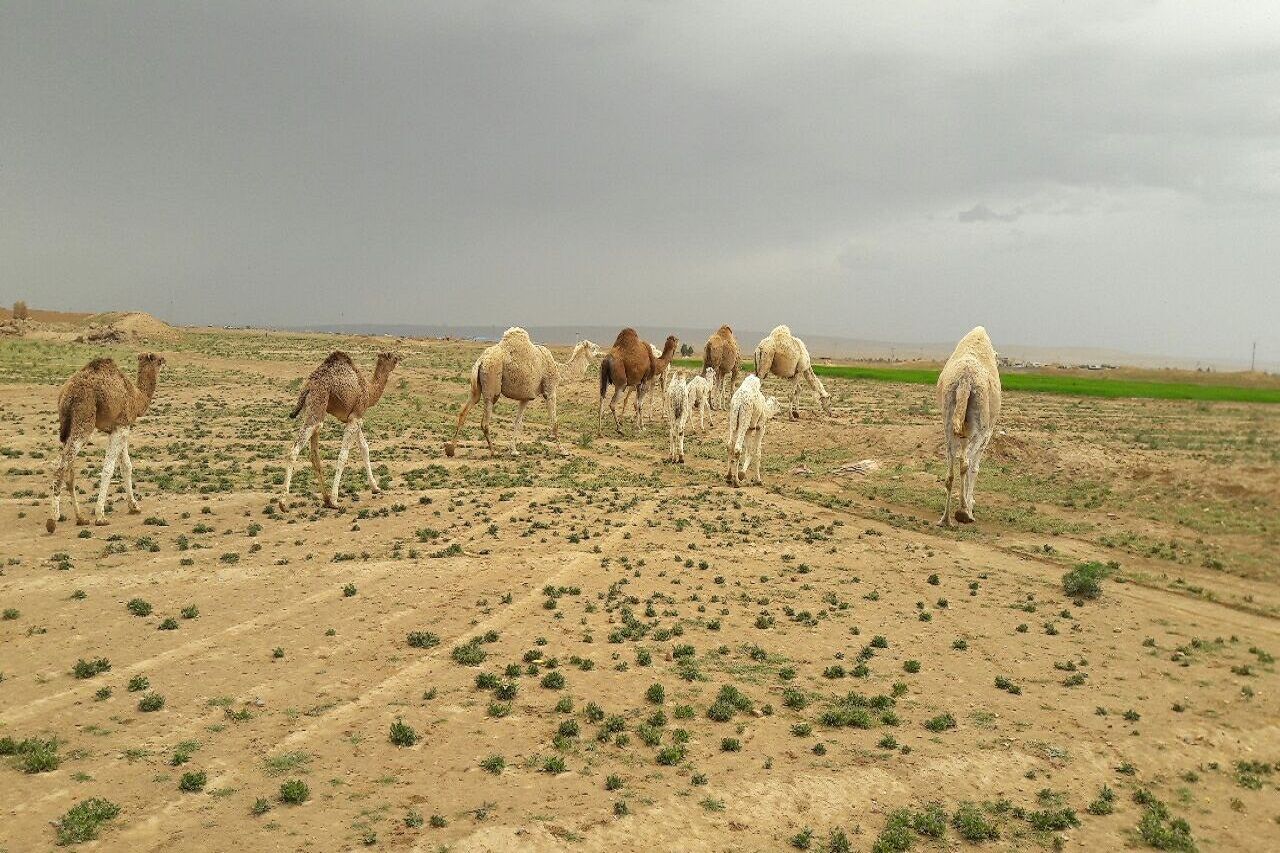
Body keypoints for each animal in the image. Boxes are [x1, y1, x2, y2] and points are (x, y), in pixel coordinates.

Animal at [48, 350, 166, 532]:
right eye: (158, 359)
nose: (165, 360)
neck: (136, 398)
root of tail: (67, 393)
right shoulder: (121, 427)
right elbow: (108, 469)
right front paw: (100, 516)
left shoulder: (120, 427)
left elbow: (126, 466)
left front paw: (134, 507)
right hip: (84, 420)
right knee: (61, 464)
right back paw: (53, 520)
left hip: (67, 427)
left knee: (68, 467)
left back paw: (80, 518)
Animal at [280, 348, 399, 507]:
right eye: (392, 357)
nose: (399, 358)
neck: (369, 391)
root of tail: (308, 386)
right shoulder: (356, 417)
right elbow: (343, 456)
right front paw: (336, 499)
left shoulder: (355, 419)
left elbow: (365, 449)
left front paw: (376, 488)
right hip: (318, 405)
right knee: (295, 450)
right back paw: (283, 502)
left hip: (312, 409)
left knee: (314, 454)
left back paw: (326, 499)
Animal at [445, 326, 593, 458]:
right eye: (593, 348)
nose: (599, 350)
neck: (558, 368)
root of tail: (480, 361)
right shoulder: (550, 390)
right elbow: (554, 422)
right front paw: (563, 451)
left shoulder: (526, 397)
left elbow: (518, 423)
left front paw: (514, 451)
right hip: (492, 382)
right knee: (485, 421)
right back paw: (494, 452)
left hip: (476, 387)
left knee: (464, 411)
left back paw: (450, 450)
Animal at [936, 325, 1003, 525]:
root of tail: (965, 379)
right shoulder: (986, 434)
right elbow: (975, 468)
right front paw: (970, 504)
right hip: (980, 428)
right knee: (966, 462)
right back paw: (964, 513)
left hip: (948, 420)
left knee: (951, 468)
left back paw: (945, 519)